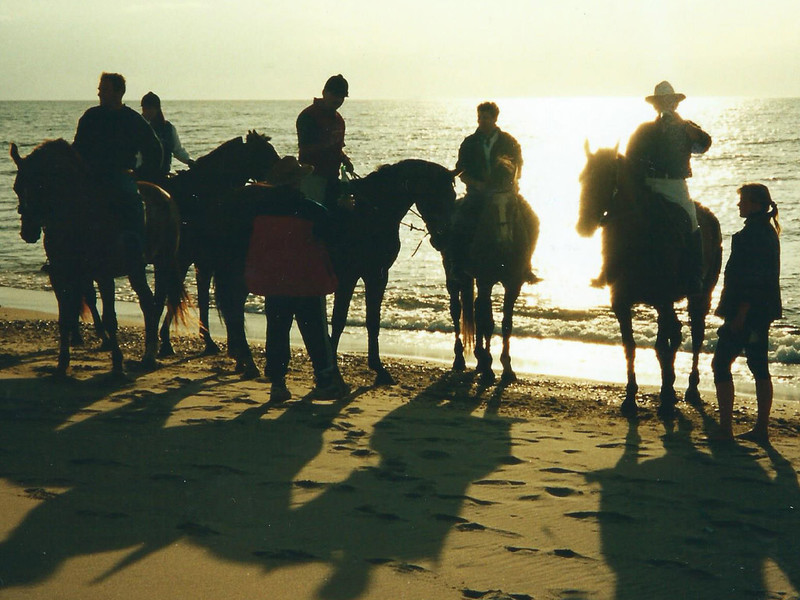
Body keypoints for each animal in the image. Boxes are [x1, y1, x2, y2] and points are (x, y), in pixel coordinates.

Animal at [10, 138, 189, 378]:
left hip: (163, 262)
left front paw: (117, 365)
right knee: (147, 301)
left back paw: (150, 353)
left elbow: (110, 319)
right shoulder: (63, 276)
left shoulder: (104, 276)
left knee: (156, 301)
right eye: (17, 188)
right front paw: (62, 365)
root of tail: (164, 194)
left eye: (40, 186)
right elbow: (65, 319)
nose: (28, 231)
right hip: (135, 269)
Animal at [214, 159, 456, 384]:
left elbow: (372, 320)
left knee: (235, 309)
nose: (443, 239)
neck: (367, 214)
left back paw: (245, 361)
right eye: (436, 196)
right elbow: (339, 319)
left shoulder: (377, 275)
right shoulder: (348, 277)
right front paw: (336, 370)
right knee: (235, 310)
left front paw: (378, 368)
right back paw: (247, 360)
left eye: (453, 196)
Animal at [440, 190, 540, 384]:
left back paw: (479, 360)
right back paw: (460, 359)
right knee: (457, 310)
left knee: (477, 308)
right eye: (491, 208)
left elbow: (506, 324)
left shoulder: (513, 285)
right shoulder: (485, 282)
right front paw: (488, 369)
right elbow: (487, 321)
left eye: (513, 208)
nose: (505, 242)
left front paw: (506, 368)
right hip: (452, 275)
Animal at [576, 144, 724, 418]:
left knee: (695, 335)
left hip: (699, 296)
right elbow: (631, 347)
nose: (584, 225)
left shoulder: (663, 301)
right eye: (583, 178)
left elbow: (662, 346)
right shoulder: (622, 303)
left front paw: (666, 397)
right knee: (675, 333)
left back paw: (691, 388)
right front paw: (631, 397)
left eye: (605, 179)